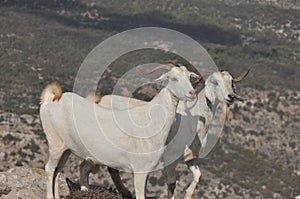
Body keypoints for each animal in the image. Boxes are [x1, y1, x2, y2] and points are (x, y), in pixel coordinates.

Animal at [40, 64, 199, 199]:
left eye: (189, 77)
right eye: (174, 78)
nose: (192, 93)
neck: (151, 119)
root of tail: (52, 100)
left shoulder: (146, 170)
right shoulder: (139, 170)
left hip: (66, 149)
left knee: (58, 170)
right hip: (55, 143)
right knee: (50, 168)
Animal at [78, 69, 247, 198]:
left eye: (231, 82)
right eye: (215, 82)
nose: (231, 97)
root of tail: (99, 101)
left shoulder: (190, 159)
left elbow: (197, 176)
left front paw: (188, 194)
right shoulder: (170, 160)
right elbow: (172, 184)